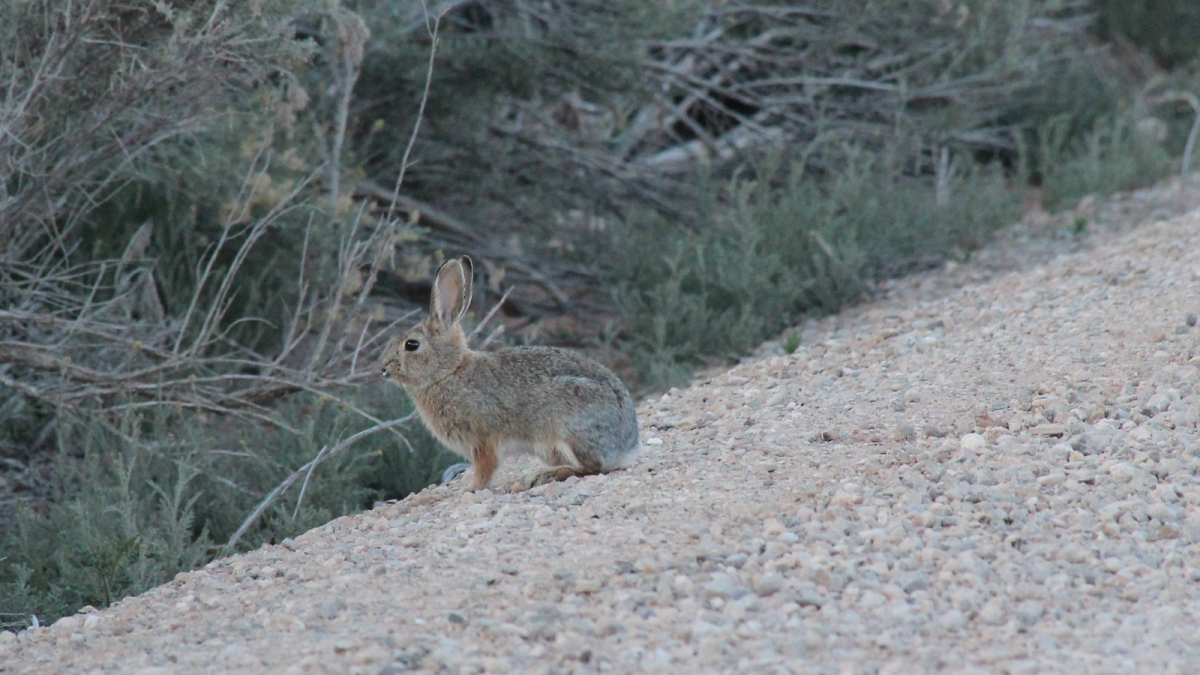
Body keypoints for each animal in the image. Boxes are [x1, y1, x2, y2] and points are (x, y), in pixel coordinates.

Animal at [379, 254, 643, 492]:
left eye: (412, 345)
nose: (383, 368)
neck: (448, 372)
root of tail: (628, 444)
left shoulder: (482, 440)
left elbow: (485, 468)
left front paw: (470, 489)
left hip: (570, 428)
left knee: (591, 467)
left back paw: (538, 477)